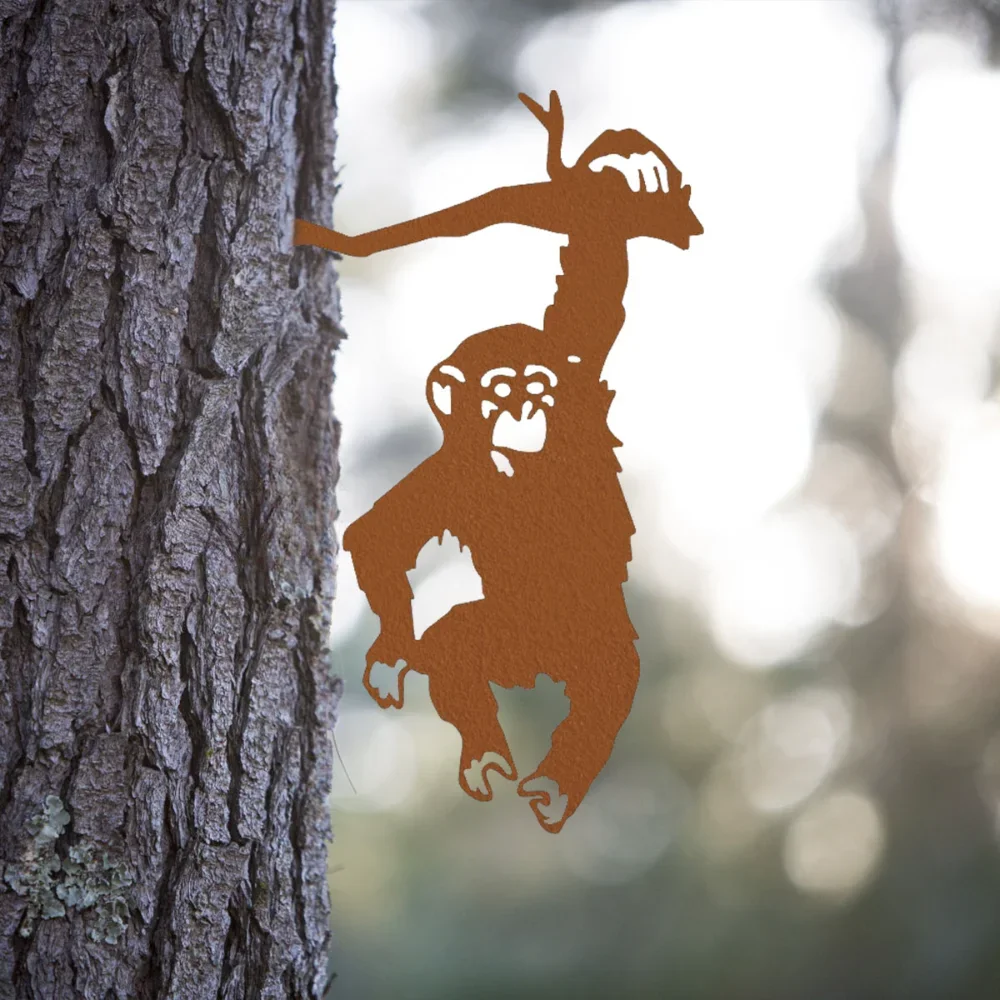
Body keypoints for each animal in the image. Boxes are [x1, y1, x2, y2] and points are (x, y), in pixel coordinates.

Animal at [295, 92, 702, 832]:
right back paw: (487, 753)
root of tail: (536, 669)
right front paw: (391, 652)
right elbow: (381, 536)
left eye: (536, 387)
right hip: (506, 637)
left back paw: (557, 783)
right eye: (499, 392)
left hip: (593, 636)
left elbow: (593, 285)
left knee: (604, 690)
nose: (524, 412)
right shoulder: (451, 472)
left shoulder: (578, 384)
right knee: (456, 646)